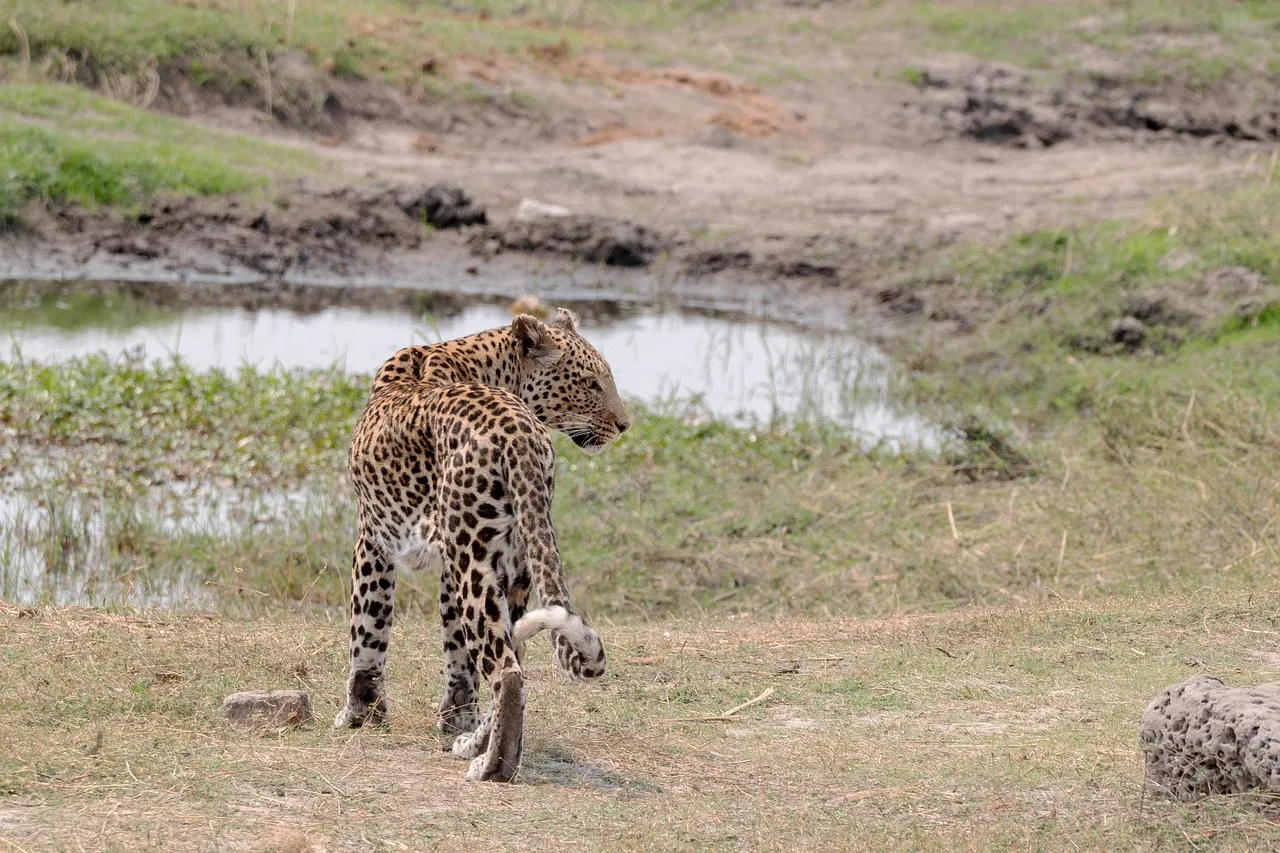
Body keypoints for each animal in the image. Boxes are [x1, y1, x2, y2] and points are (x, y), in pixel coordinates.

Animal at [333, 307, 630, 782]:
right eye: (591, 383)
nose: (624, 426)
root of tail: (520, 432)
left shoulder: (374, 537)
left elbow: (368, 631)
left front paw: (360, 714)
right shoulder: (452, 565)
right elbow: (459, 656)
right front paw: (458, 721)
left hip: (471, 558)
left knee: (507, 672)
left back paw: (492, 766)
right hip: (510, 562)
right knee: (514, 660)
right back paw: (478, 744)